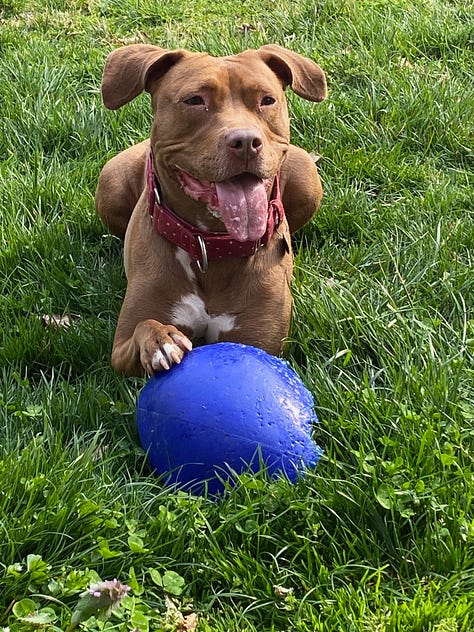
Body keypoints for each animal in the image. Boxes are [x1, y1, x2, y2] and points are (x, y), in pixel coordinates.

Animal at [95, 44, 326, 376]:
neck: (213, 245)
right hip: (109, 183)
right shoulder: (121, 347)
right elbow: (143, 326)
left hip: (306, 175)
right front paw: (160, 341)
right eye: (194, 100)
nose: (246, 141)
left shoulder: (258, 342)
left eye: (267, 100)